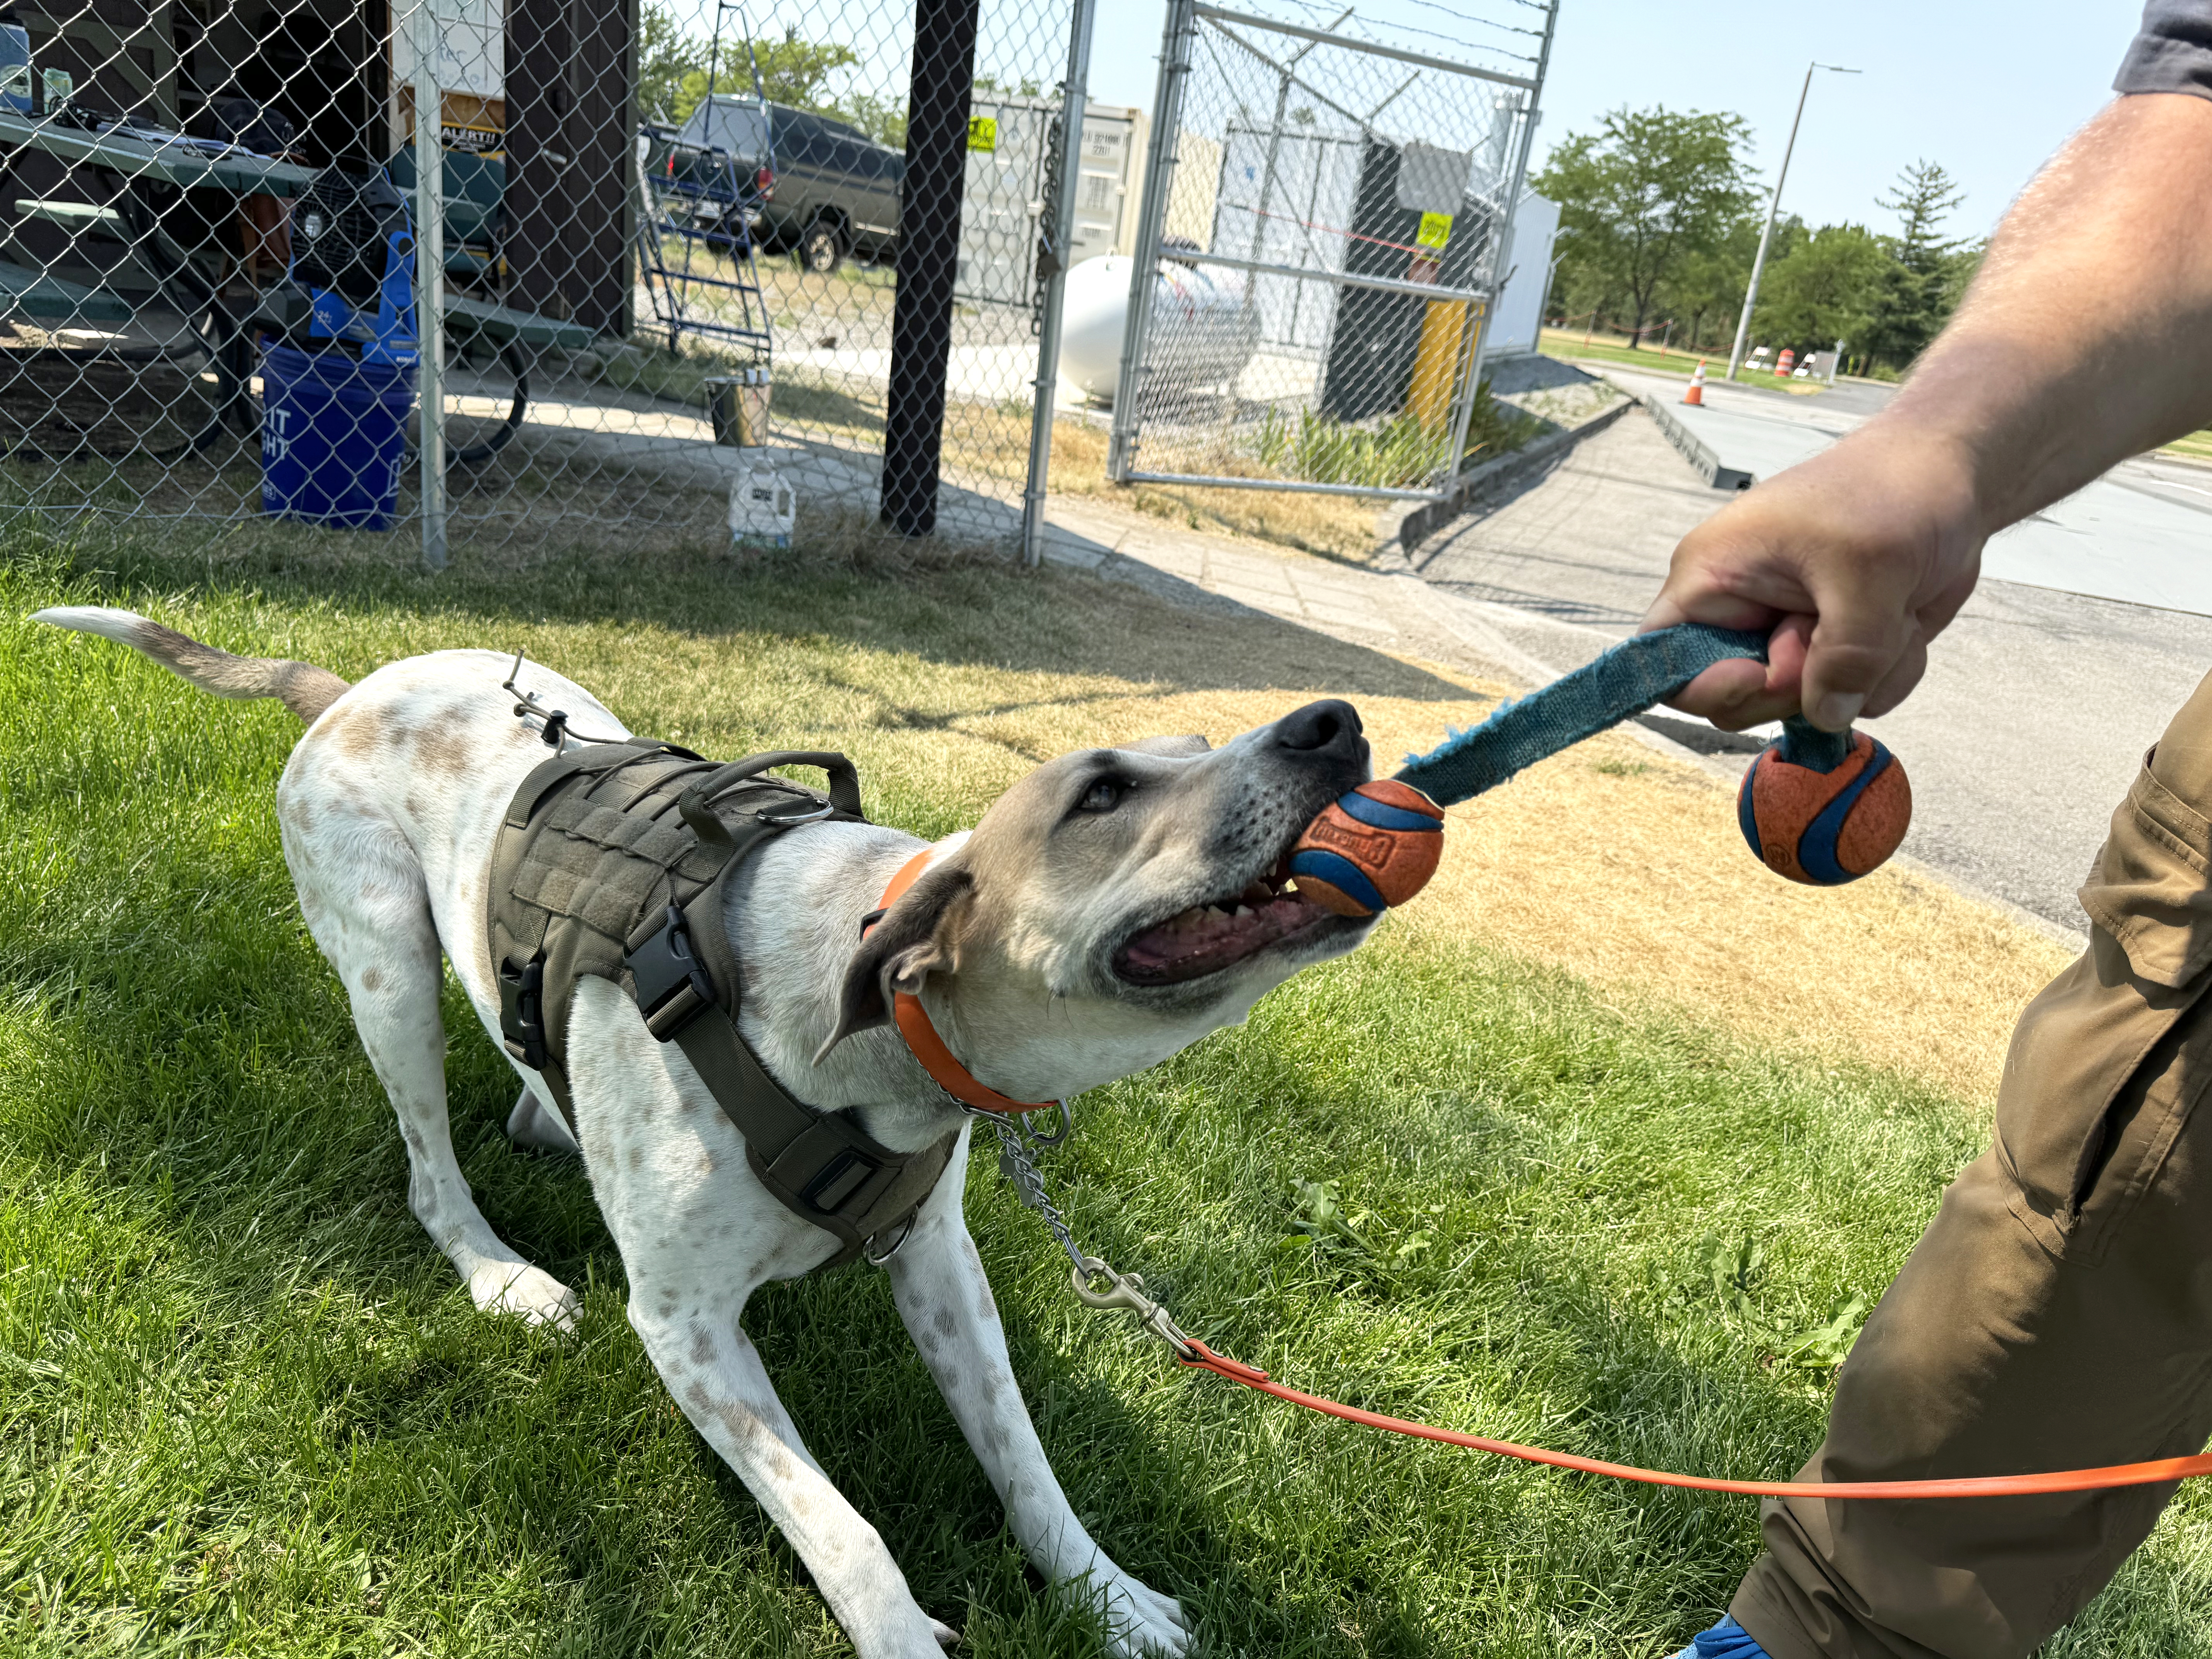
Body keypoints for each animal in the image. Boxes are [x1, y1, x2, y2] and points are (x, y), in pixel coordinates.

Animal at [34, 615, 1371, 1659]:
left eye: (1190, 750)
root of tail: (348, 684)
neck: (861, 1037)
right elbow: (846, 1530)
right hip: (385, 965)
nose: (1334, 724)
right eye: (1101, 793)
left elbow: (1022, 1459)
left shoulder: (940, 1262)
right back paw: (500, 1273)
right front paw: (904, 1635)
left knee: (519, 1079)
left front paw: (1109, 1597)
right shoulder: (685, 1330)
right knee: (428, 1170)